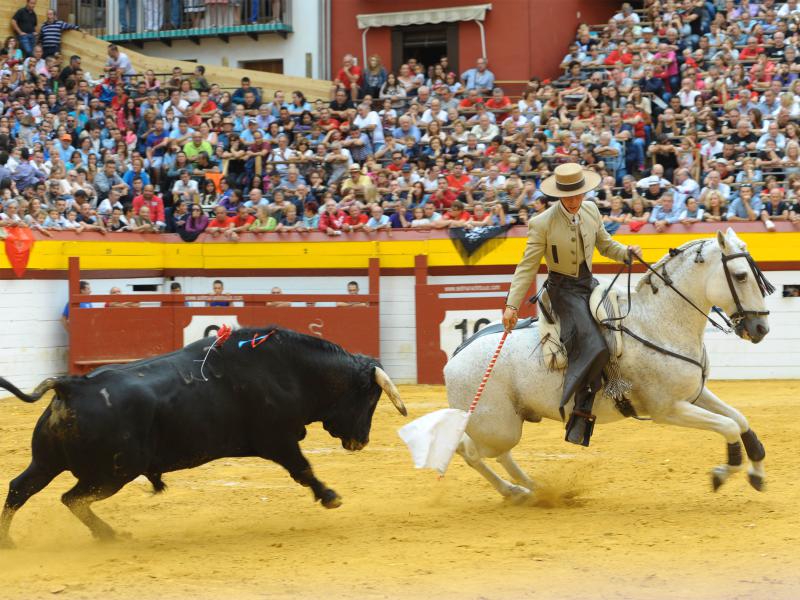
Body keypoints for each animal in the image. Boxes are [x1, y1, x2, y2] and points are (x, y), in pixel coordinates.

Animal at [0, 326, 406, 547]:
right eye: (370, 397)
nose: (360, 441)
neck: (289, 369)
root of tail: (71, 386)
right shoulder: (277, 439)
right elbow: (303, 469)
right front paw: (331, 497)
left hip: (47, 462)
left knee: (21, 488)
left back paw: (12, 542)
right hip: (112, 474)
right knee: (71, 498)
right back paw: (107, 535)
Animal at [444, 229, 772, 501]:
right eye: (741, 276)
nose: (761, 328)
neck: (657, 322)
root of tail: (457, 356)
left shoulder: (694, 394)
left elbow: (739, 419)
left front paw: (756, 473)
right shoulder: (668, 409)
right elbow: (728, 425)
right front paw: (722, 474)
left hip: (506, 424)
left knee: (495, 454)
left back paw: (530, 488)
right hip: (497, 427)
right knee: (469, 450)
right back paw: (515, 491)